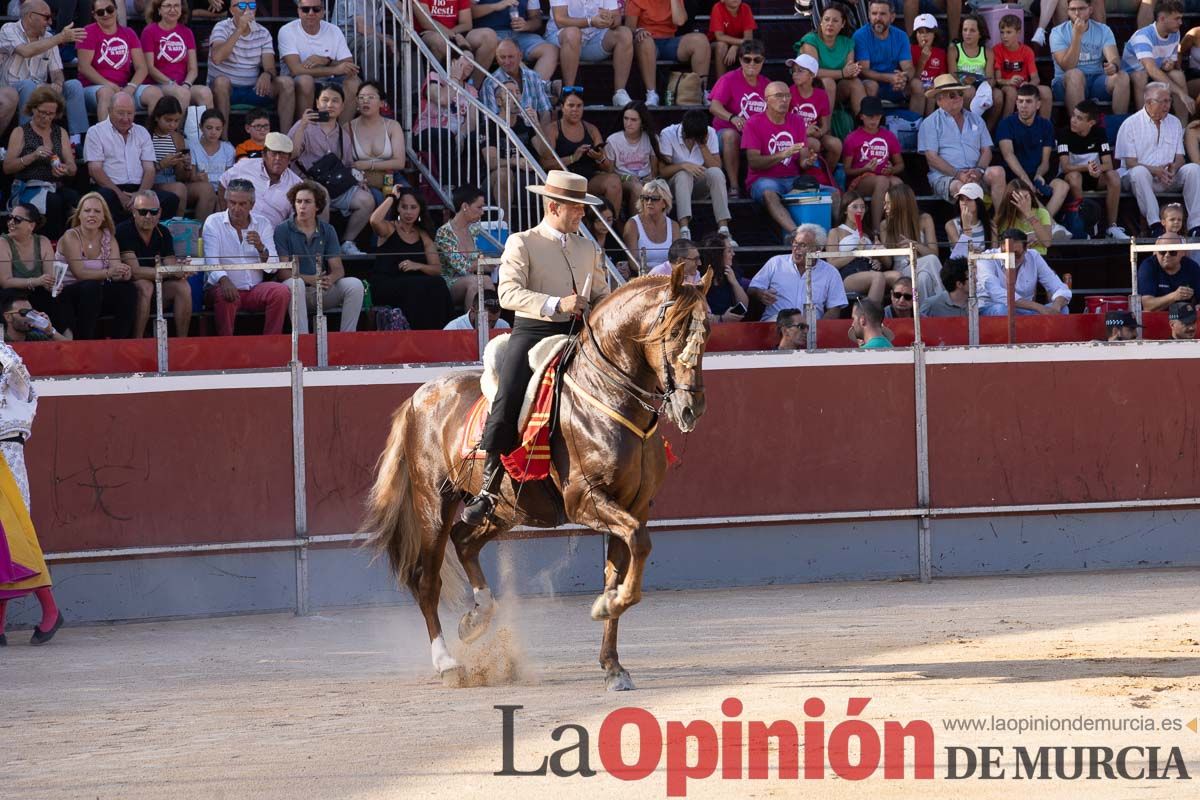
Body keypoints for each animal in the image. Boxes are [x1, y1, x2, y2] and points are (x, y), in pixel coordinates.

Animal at [362, 262, 710, 690]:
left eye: (706, 333)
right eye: (674, 332)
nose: (691, 408)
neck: (607, 396)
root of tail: (419, 396)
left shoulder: (635, 505)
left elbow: (622, 565)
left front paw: (613, 663)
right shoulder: (587, 500)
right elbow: (639, 544)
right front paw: (607, 607)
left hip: (503, 509)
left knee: (465, 541)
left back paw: (477, 619)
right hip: (433, 503)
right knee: (427, 579)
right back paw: (447, 663)